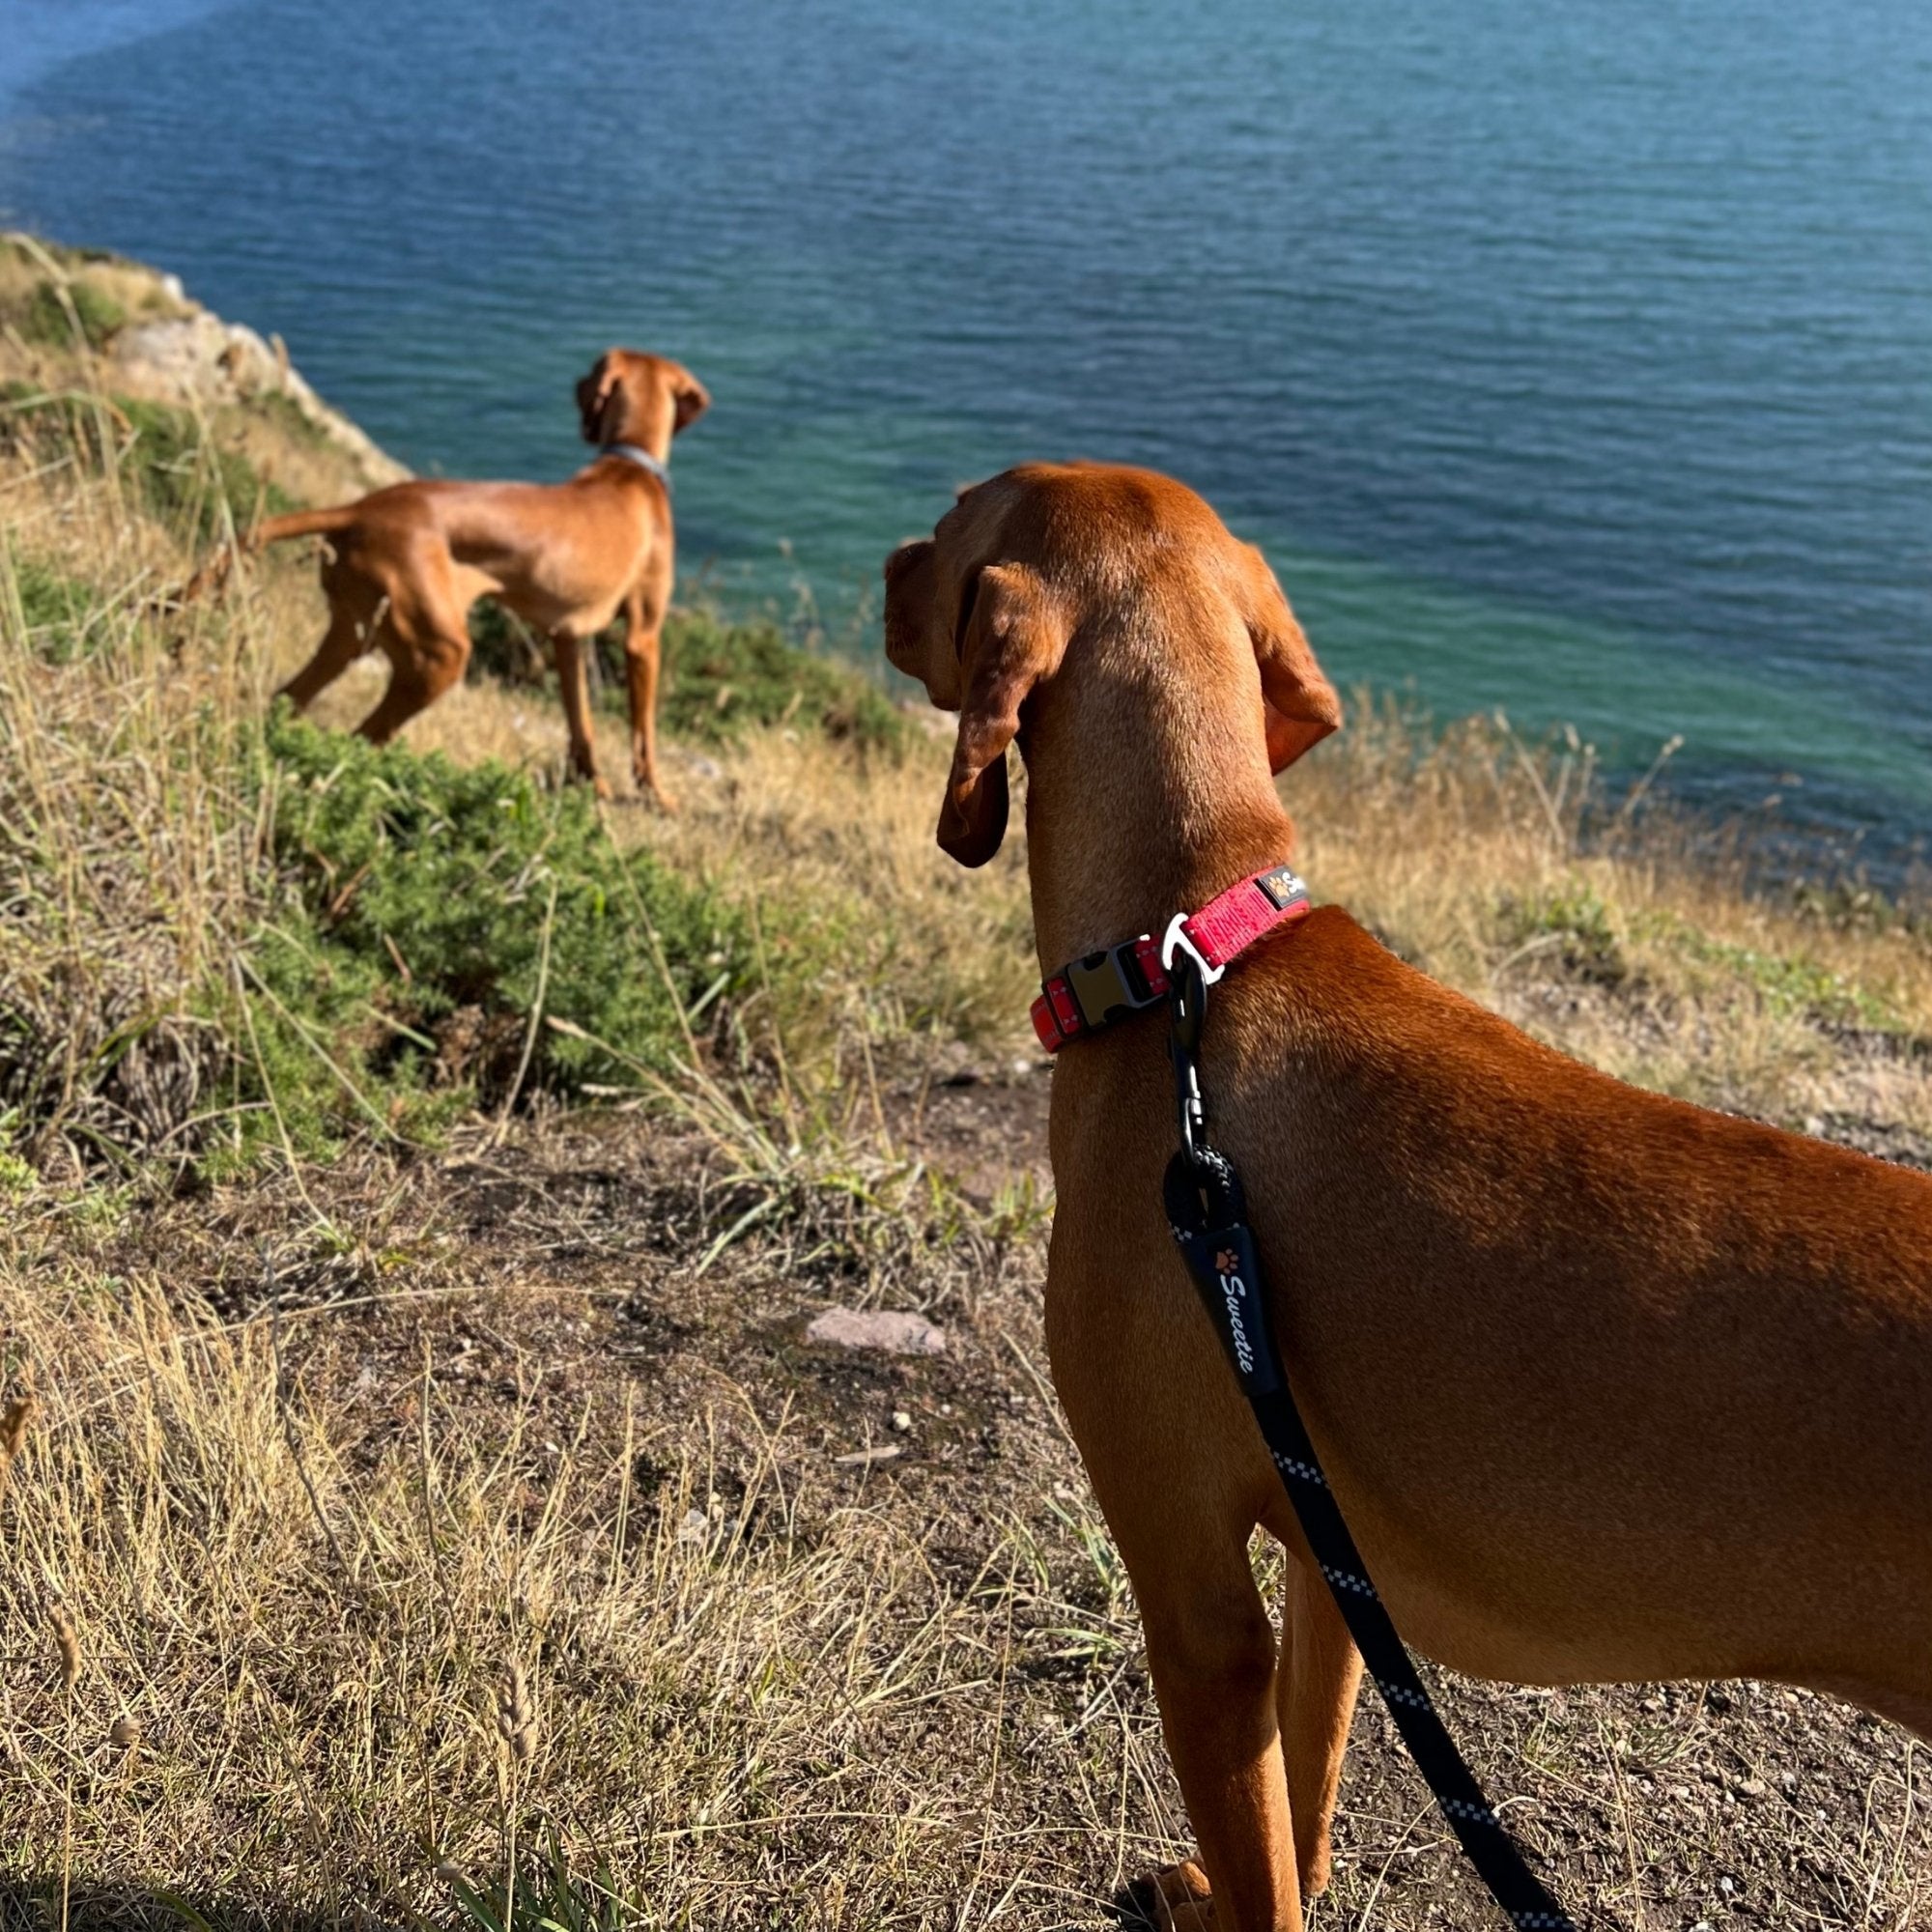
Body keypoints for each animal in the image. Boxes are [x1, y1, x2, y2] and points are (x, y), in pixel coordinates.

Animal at [245, 350, 707, 808]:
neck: (630, 467)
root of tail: (358, 509)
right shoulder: (643, 637)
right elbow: (643, 731)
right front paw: (657, 795)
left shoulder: (566, 636)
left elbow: (581, 720)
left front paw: (592, 785)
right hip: (437, 654)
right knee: (360, 737)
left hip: (354, 632)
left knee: (290, 697)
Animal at [885, 460, 1932, 1924]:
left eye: (951, 520)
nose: (882, 566)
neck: (1188, 960)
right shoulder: (1332, 1559)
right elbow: (1305, 1795)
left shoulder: (1192, 1597)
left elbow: (1257, 1850)